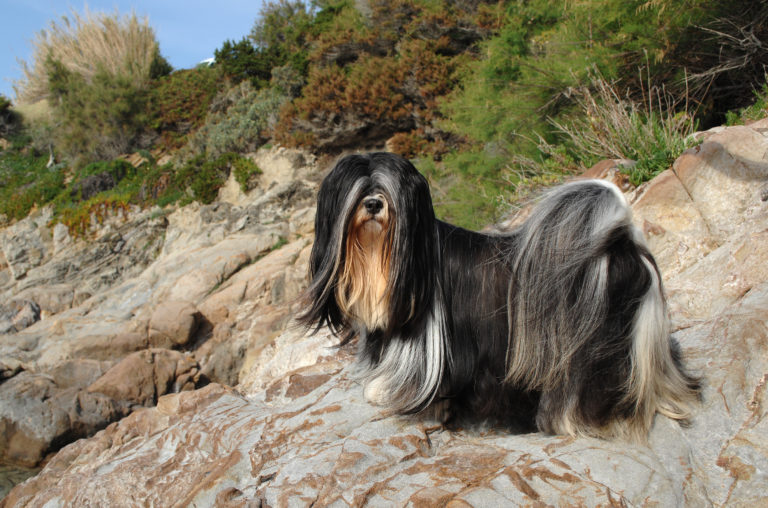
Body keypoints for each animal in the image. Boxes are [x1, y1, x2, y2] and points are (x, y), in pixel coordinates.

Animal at [300, 151, 704, 440]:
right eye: (359, 191)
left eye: (386, 191)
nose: (373, 204)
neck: (400, 259)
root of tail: (623, 244)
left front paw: (385, 393)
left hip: (597, 350)